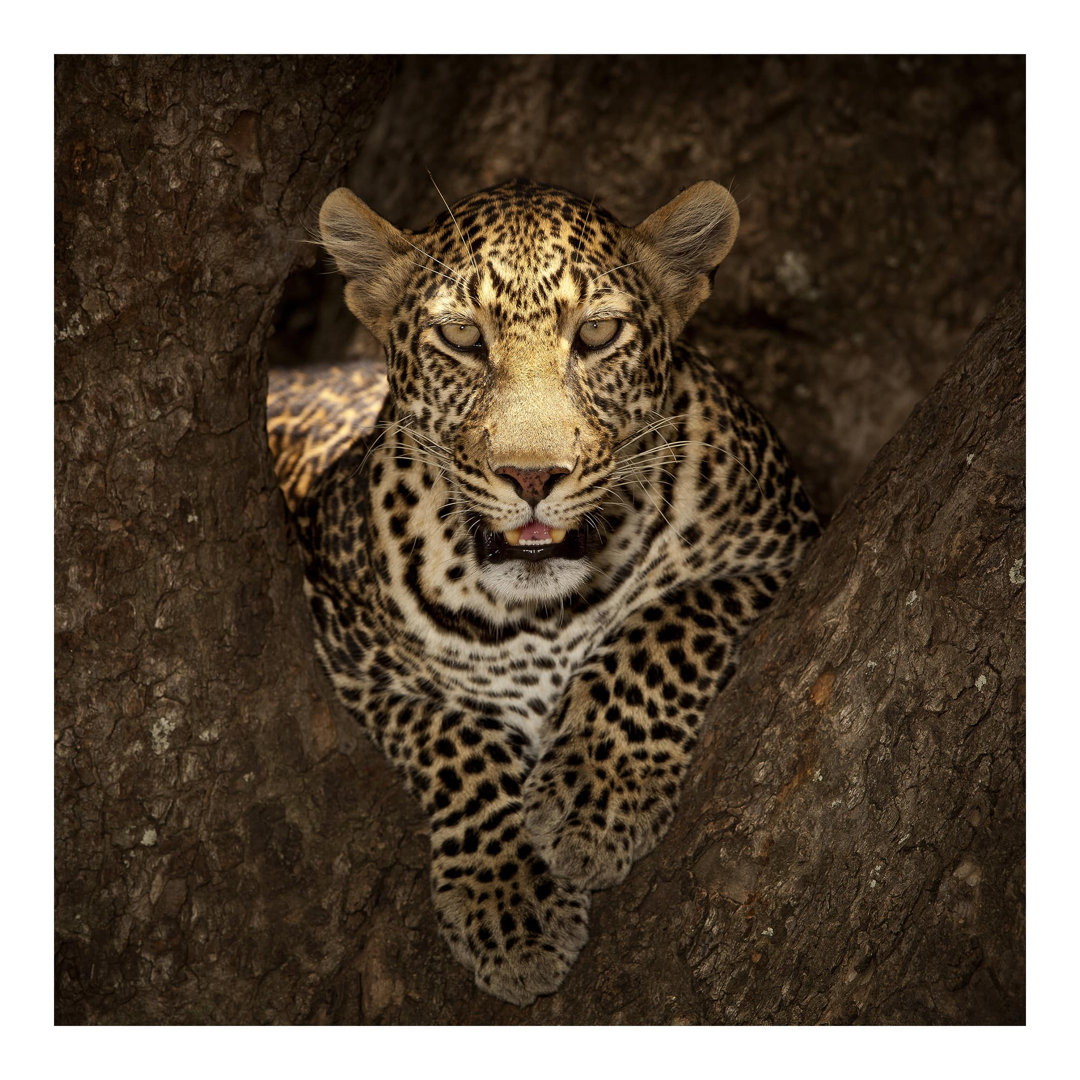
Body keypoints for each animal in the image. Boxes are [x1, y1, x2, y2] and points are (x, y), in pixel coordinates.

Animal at [266, 178, 820, 1006]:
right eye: (463, 336)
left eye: (598, 333)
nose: (532, 477)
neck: (543, 614)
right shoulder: (347, 652)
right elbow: (453, 736)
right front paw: (510, 902)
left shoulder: (784, 548)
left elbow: (664, 624)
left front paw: (597, 794)